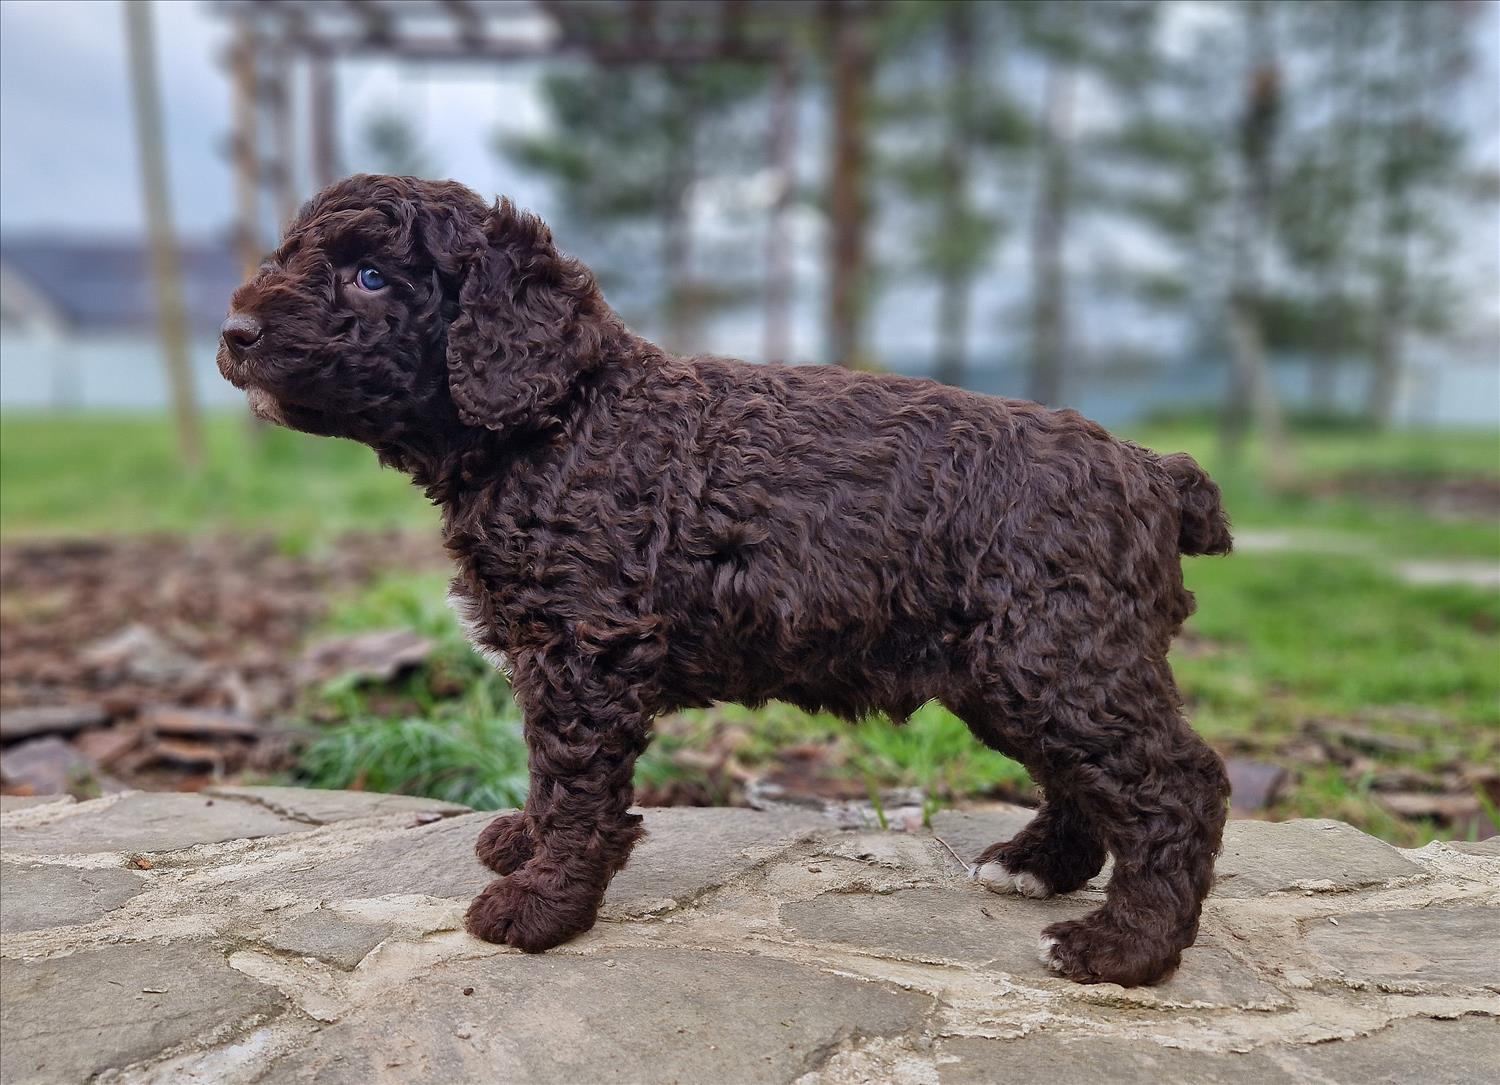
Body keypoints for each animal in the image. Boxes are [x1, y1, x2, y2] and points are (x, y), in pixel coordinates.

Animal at [218, 174, 1232, 986]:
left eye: (370, 276)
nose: (233, 333)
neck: (563, 418)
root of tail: (1151, 467)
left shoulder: (589, 651)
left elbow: (580, 787)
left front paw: (542, 905)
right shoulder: (551, 654)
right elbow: (549, 773)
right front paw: (524, 843)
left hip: (1053, 655)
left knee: (1178, 784)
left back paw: (1127, 949)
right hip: (1022, 666)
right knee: (1090, 778)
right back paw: (1037, 864)